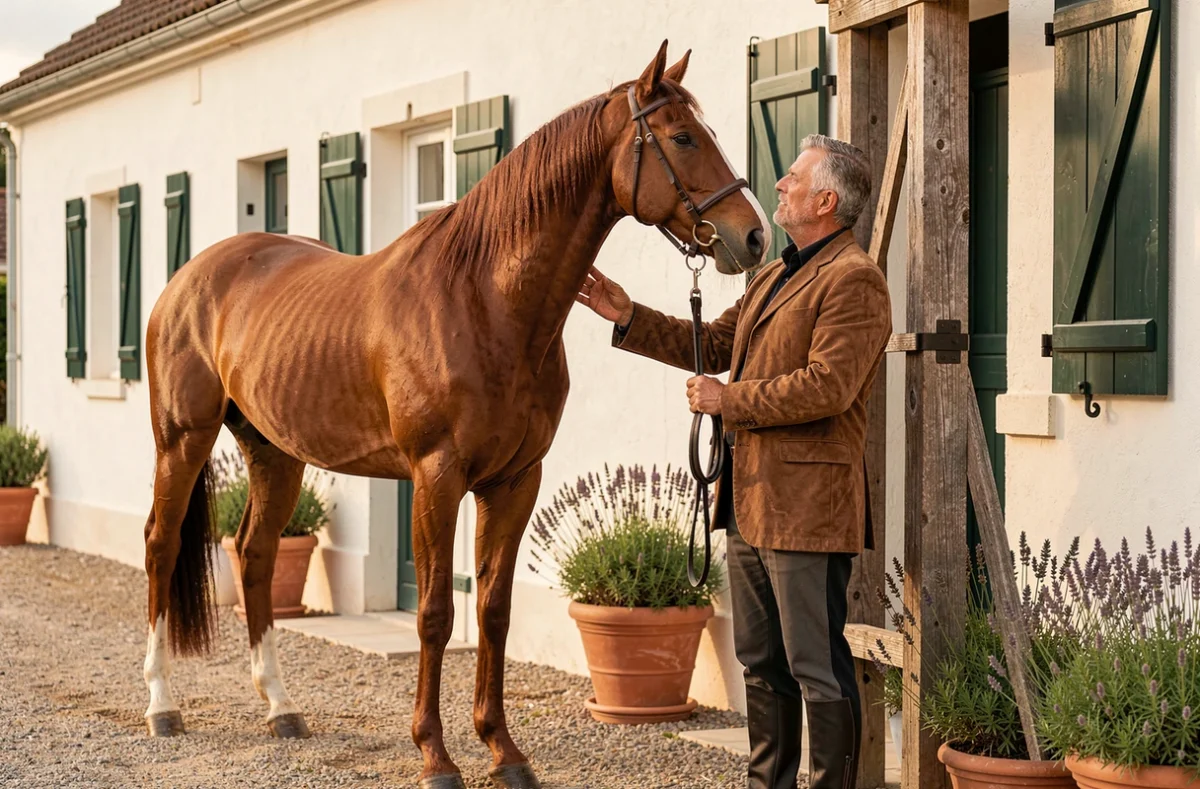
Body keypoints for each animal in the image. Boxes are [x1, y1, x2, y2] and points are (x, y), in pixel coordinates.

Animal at [139, 40, 769, 789]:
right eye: (682, 137)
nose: (754, 237)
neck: (485, 302)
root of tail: (188, 278)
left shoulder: (515, 480)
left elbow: (493, 610)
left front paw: (504, 750)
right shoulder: (436, 477)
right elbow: (437, 613)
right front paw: (435, 754)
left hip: (274, 451)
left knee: (255, 554)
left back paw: (282, 709)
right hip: (182, 439)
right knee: (161, 544)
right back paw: (162, 706)